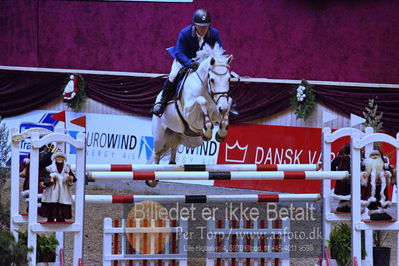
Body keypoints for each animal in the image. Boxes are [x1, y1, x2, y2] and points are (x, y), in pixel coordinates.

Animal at [148, 43, 233, 186]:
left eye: (228, 79)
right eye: (212, 80)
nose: (222, 107)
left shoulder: (217, 111)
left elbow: (228, 103)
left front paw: (221, 133)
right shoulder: (189, 113)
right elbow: (201, 101)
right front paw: (208, 130)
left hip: (189, 139)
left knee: (174, 145)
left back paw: (172, 163)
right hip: (160, 134)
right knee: (157, 153)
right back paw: (152, 179)